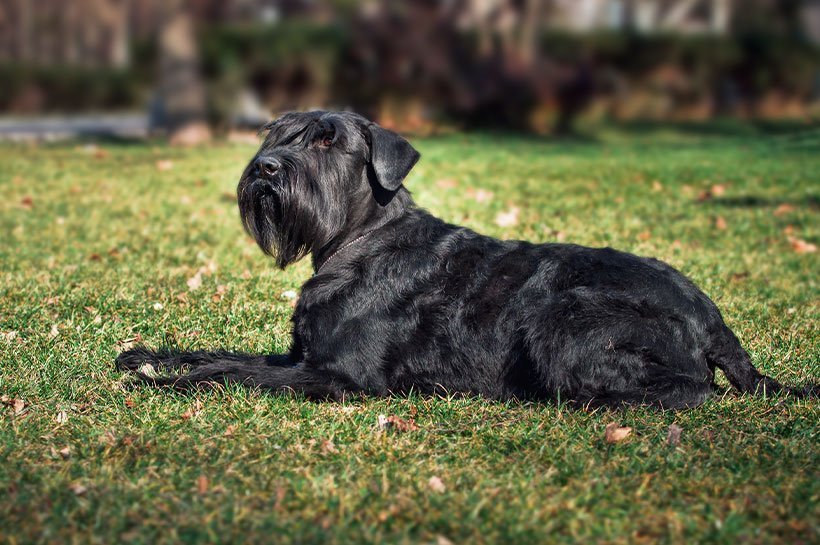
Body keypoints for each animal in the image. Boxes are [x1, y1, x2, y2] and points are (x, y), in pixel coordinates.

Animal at [117, 110, 812, 408]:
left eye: (327, 142)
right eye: (277, 133)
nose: (264, 168)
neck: (358, 241)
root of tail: (714, 320)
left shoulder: (340, 377)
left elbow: (232, 374)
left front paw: (165, 382)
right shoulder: (304, 356)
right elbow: (224, 355)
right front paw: (149, 357)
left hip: (564, 321)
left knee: (689, 390)